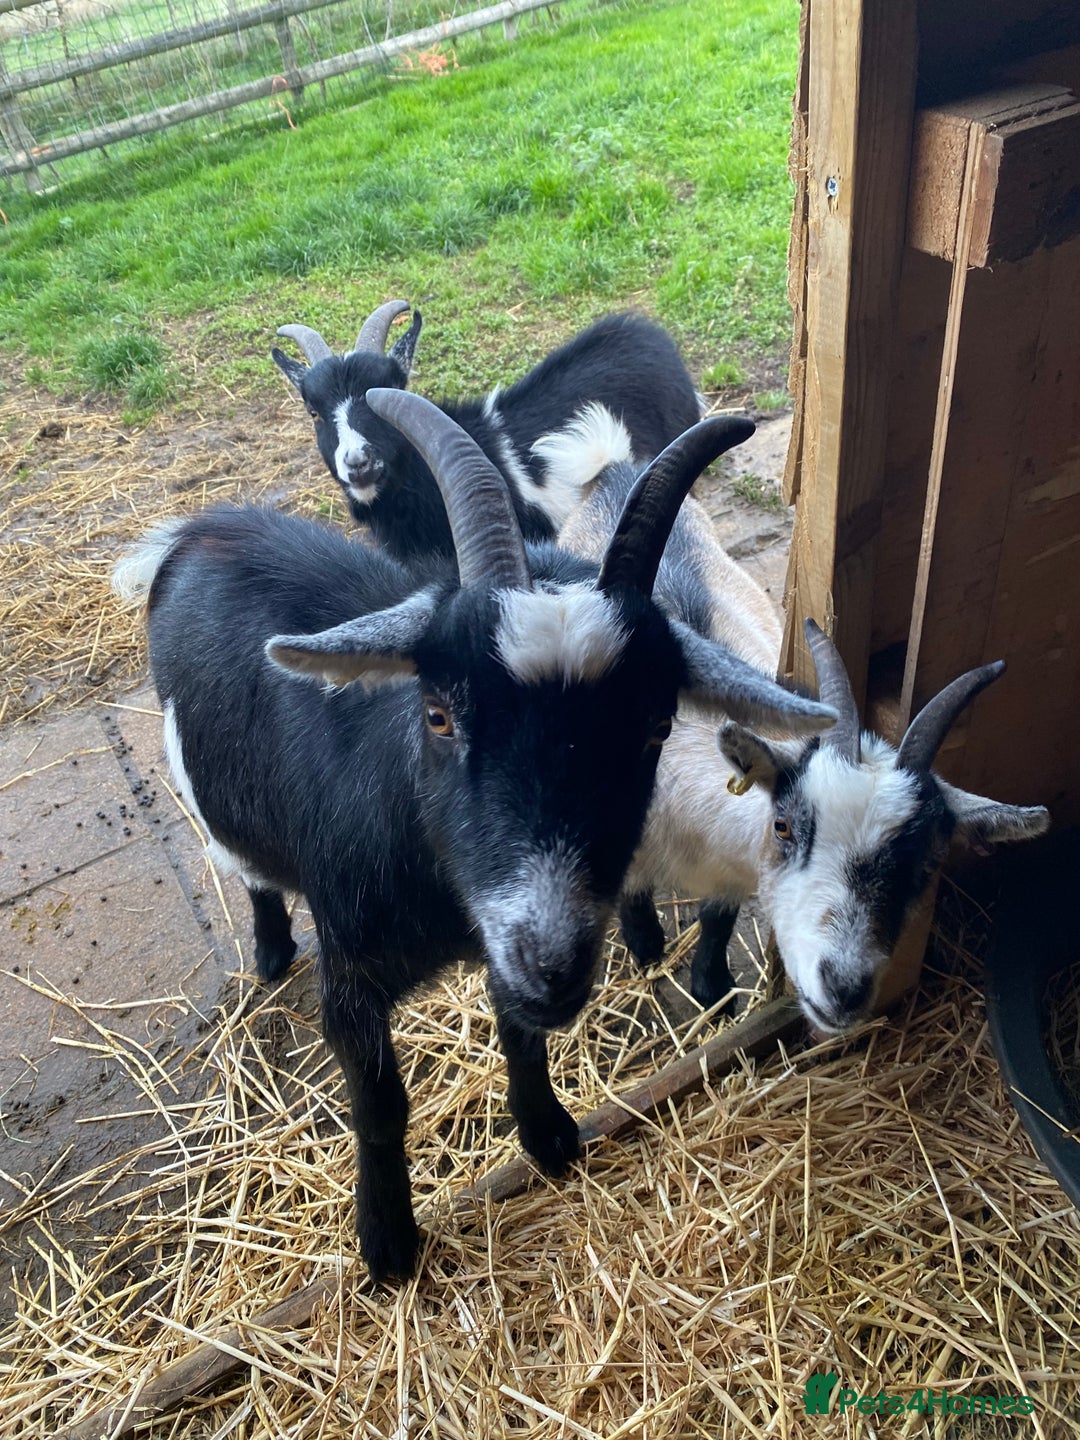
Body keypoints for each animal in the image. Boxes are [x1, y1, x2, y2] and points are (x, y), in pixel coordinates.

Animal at [115, 395, 836, 1284]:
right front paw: (387, 1242)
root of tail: (195, 529)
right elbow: (380, 1103)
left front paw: (549, 1136)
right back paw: (272, 949)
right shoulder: (350, 976)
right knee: (245, 864)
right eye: (438, 714)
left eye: (656, 726)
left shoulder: (502, 942)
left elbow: (520, 1035)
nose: (555, 964)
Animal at [554, 406, 1050, 1031]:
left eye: (927, 863)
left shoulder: (728, 874)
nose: (843, 987)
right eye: (785, 826)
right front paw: (646, 947)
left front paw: (712, 988)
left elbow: (716, 920)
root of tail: (614, 471)